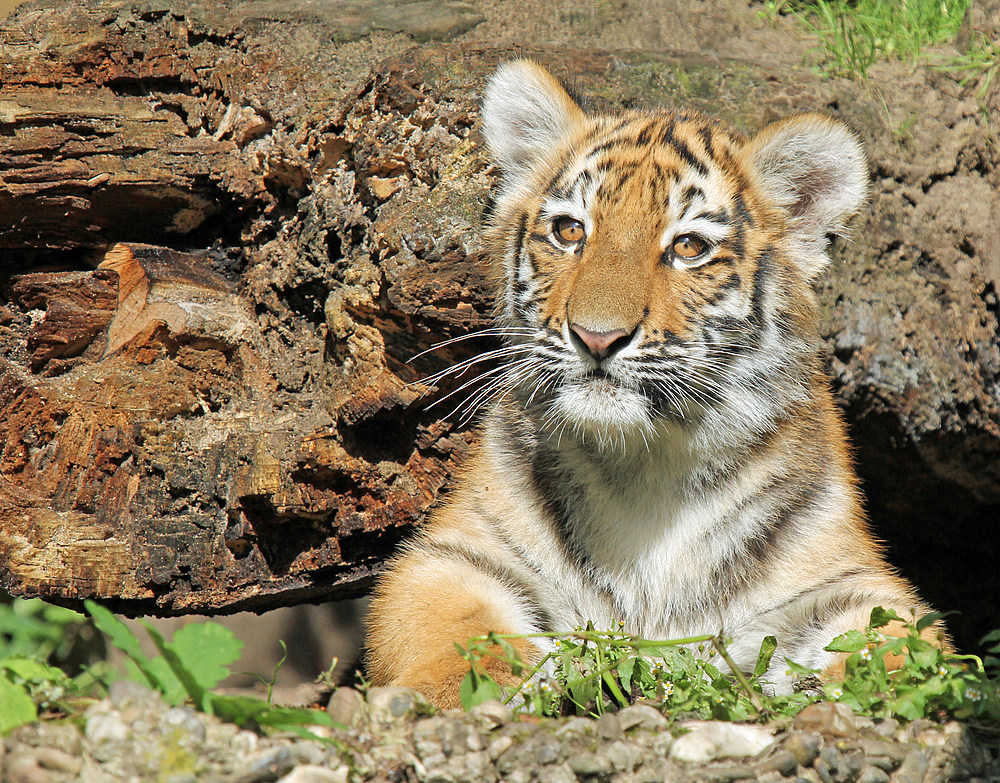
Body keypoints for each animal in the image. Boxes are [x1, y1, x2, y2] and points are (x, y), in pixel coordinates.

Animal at [364, 61, 940, 712]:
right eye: (570, 231)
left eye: (688, 246)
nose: (596, 337)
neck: (644, 466)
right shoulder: (457, 554)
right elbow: (455, 629)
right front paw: (447, 693)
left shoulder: (846, 581)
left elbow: (900, 641)